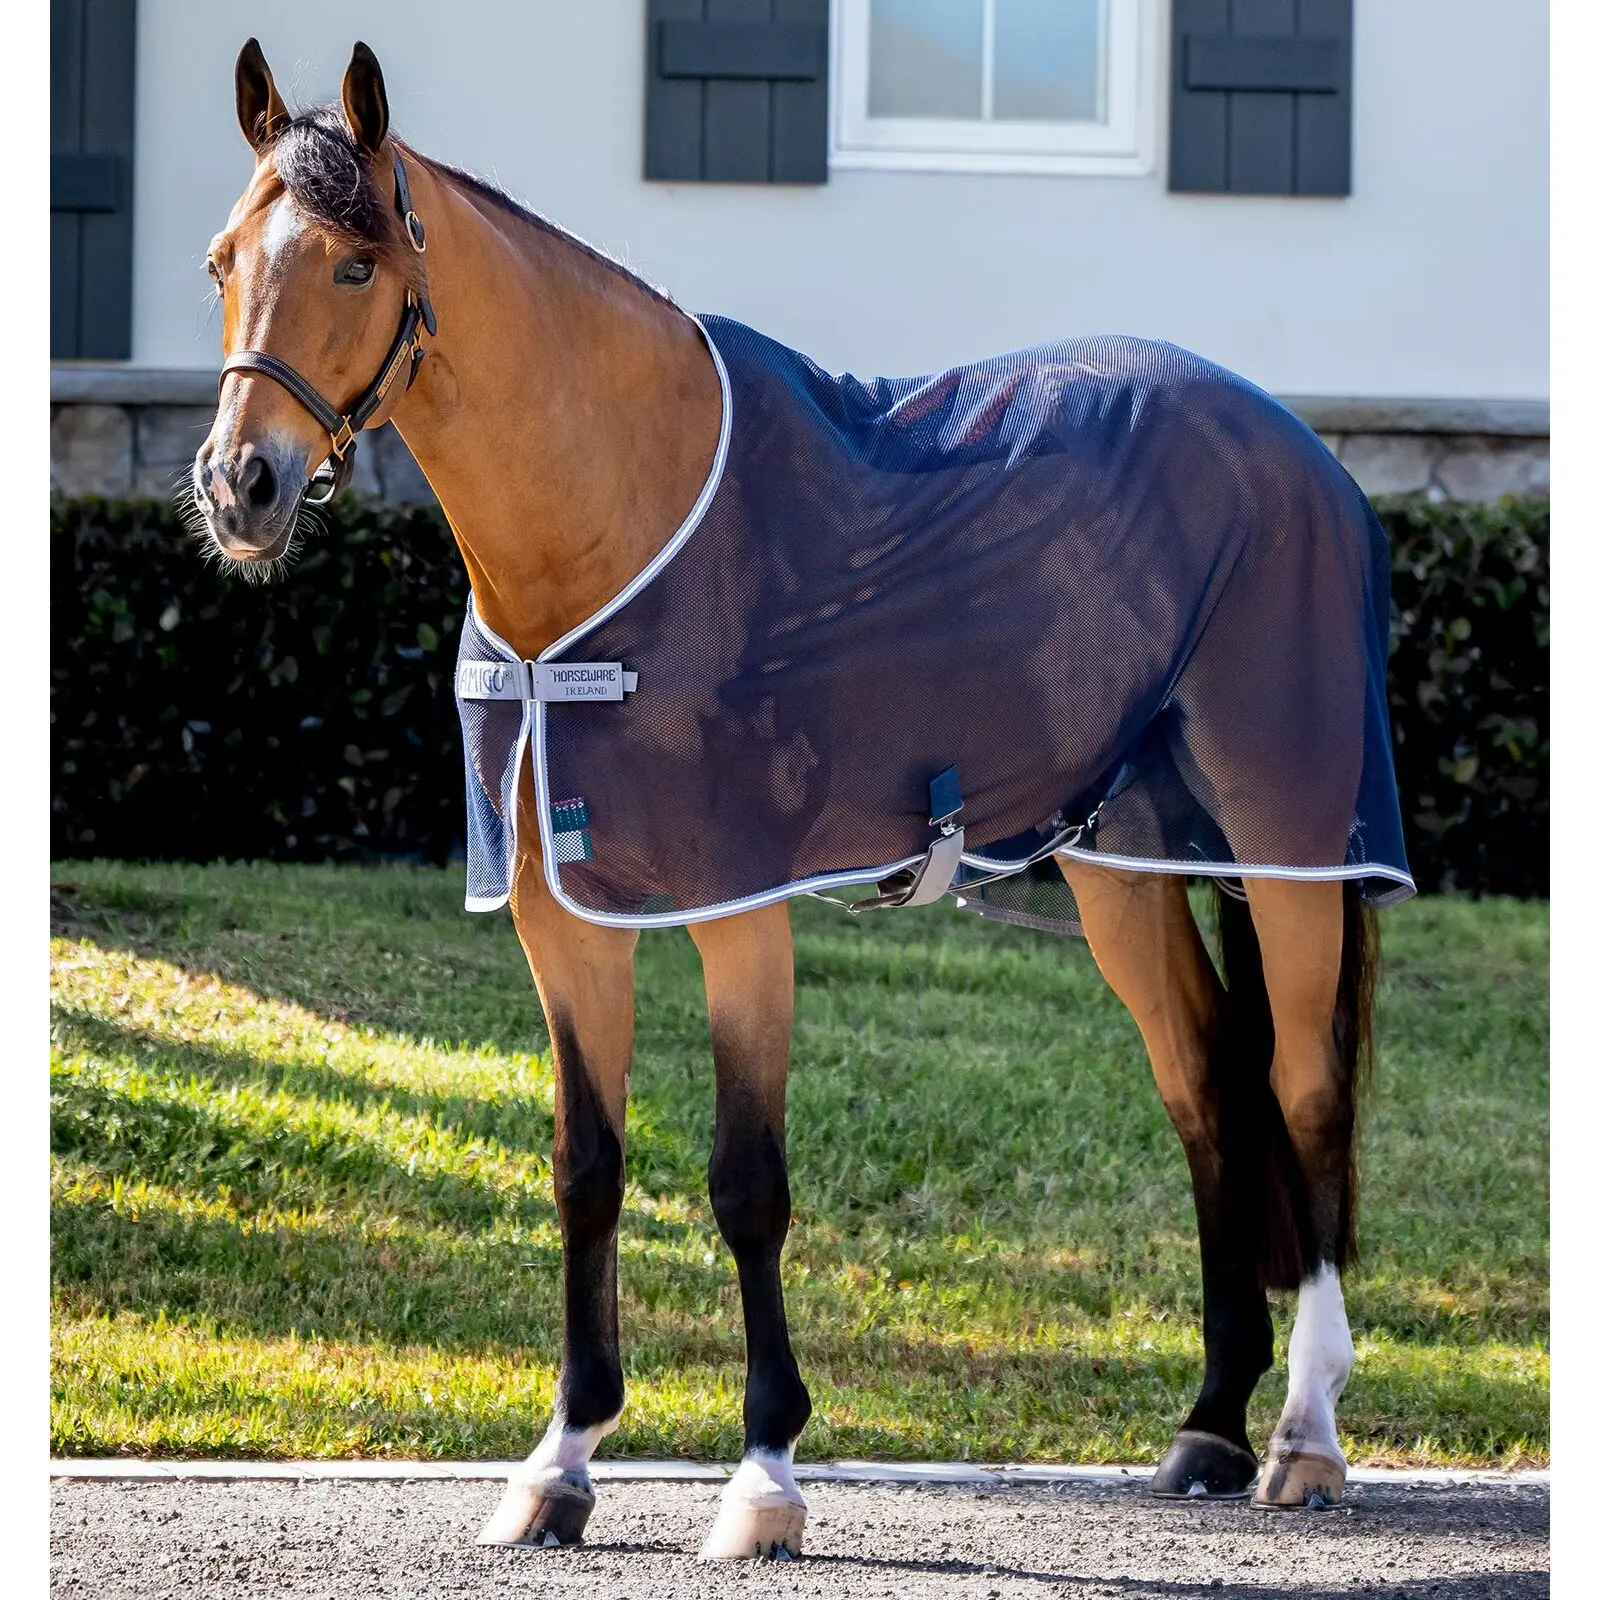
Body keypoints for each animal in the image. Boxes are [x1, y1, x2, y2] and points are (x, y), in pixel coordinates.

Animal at [191, 37, 1410, 1561]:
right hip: (1120, 867)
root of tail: (1301, 454)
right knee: (1202, 1089)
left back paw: (1303, 1434)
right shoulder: (560, 917)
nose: (240, 485)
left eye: (356, 263)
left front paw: (765, 1475)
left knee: (1301, 1092)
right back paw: (1207, 1422)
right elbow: (586, 1170)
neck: (624, 524)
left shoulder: (740, 905)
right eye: (222, 259)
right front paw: (560, 1461)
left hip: (1292, 842)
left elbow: (744, 1180)